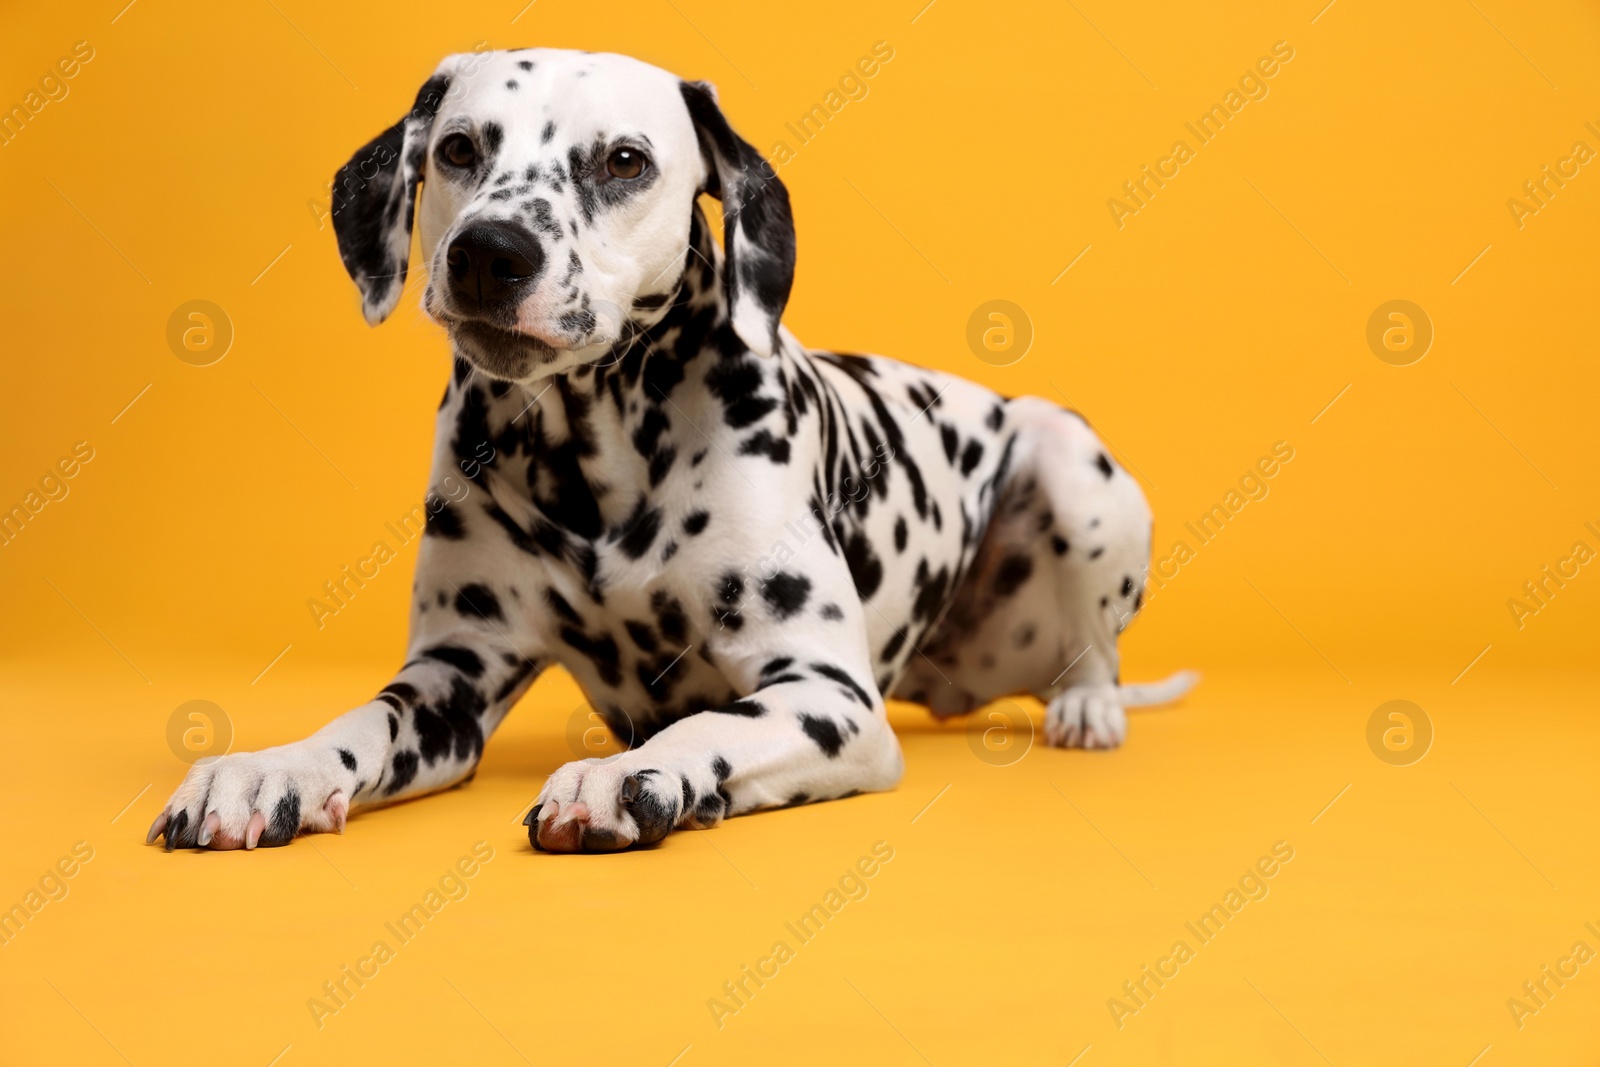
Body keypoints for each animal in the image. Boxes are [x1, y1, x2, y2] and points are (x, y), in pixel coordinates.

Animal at [150, 47, 1196, 857]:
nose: (490, 252)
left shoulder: (830, 694)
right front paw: (265, 770)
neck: (594, 454)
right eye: (457, 148)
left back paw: (1088, 709)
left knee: (1094, 653)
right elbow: (360, 720)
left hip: (1070, 461)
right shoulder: (452, 672)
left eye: (623, 160)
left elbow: (714, 720)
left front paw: (630, 775)